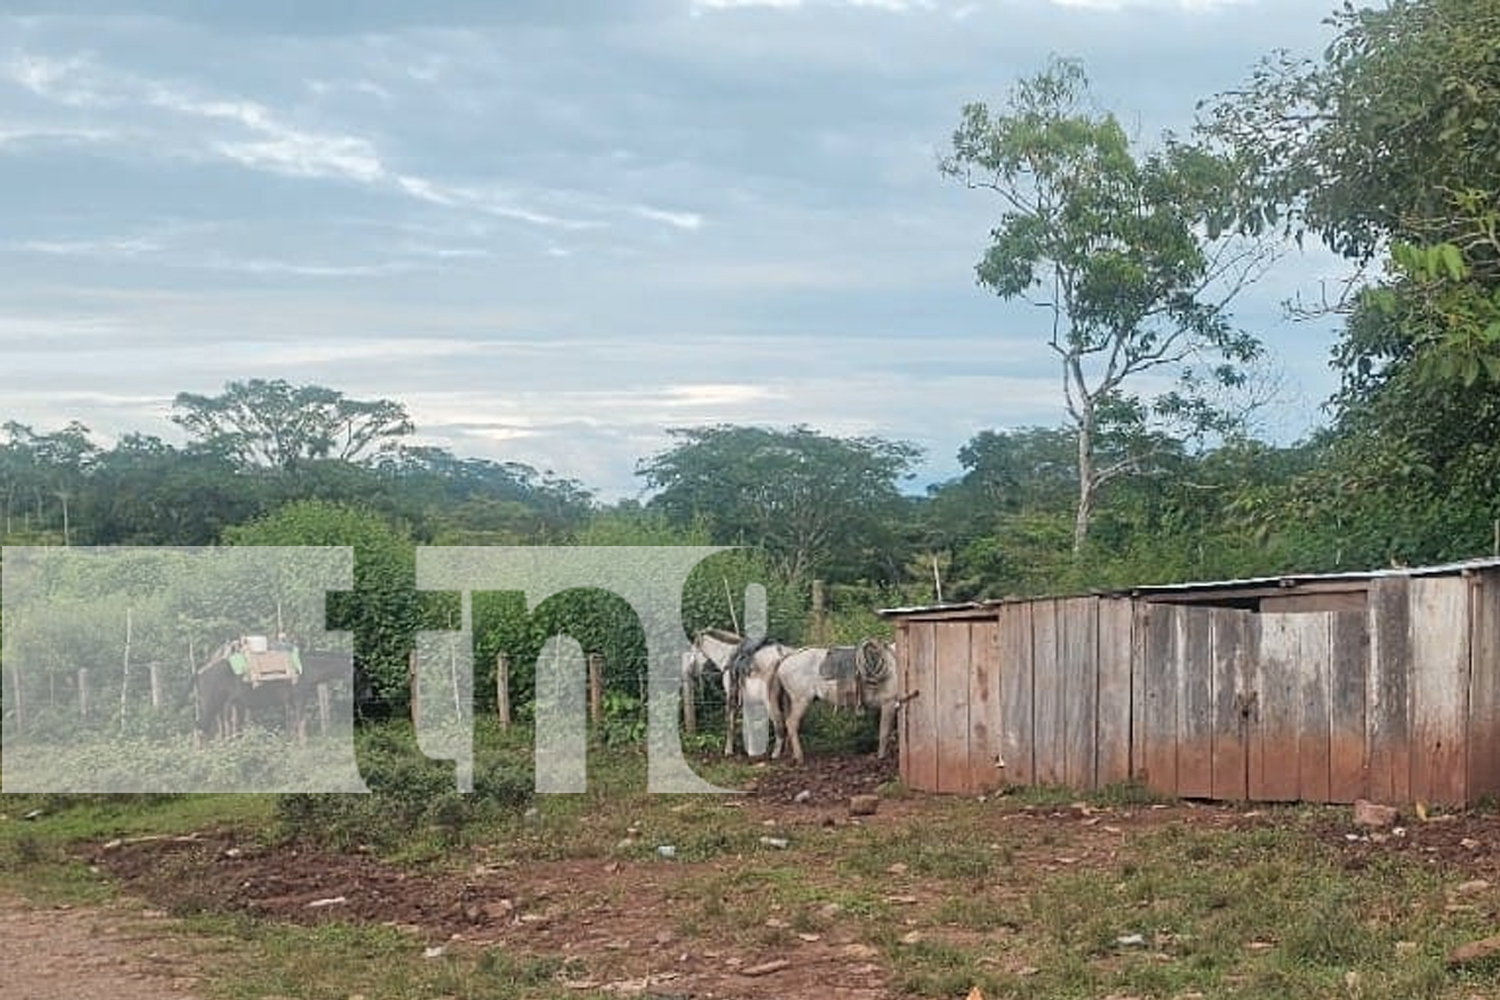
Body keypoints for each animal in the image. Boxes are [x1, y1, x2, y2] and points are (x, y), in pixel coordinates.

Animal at [693, 626, 798, 758]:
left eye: (694, 647)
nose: (692, 670)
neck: (727, 656)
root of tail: (783, 655)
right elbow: (750, 723)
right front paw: (752, 749)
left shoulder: (731, 696)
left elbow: (730, 723)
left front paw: (728, 750)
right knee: (789, 722)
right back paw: (789, 752)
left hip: (770, 701)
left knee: (780, 724)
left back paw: (775, 754)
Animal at [768, 641, 906, 767]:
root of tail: (787, 657)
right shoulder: (888, 703)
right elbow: (884, 732)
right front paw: (881, 757)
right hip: (801, 701)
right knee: (792, 723)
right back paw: (799, 757)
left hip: (791, 701)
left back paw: (792, 755)